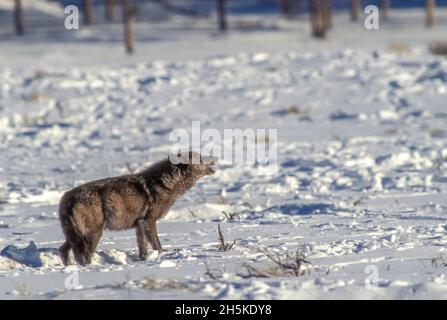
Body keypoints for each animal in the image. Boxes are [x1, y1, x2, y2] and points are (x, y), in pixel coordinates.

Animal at [58, 151, 217, 266]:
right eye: (200, 157)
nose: (215, 157)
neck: (165, 183)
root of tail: (66, 199)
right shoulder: (149, 221)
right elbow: (157, 245)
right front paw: (161, 256)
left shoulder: (140, 224)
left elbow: (143, 248)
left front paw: (143, 260)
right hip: (94, 234)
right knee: (84, 255)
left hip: (76, 235)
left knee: (63, 250)